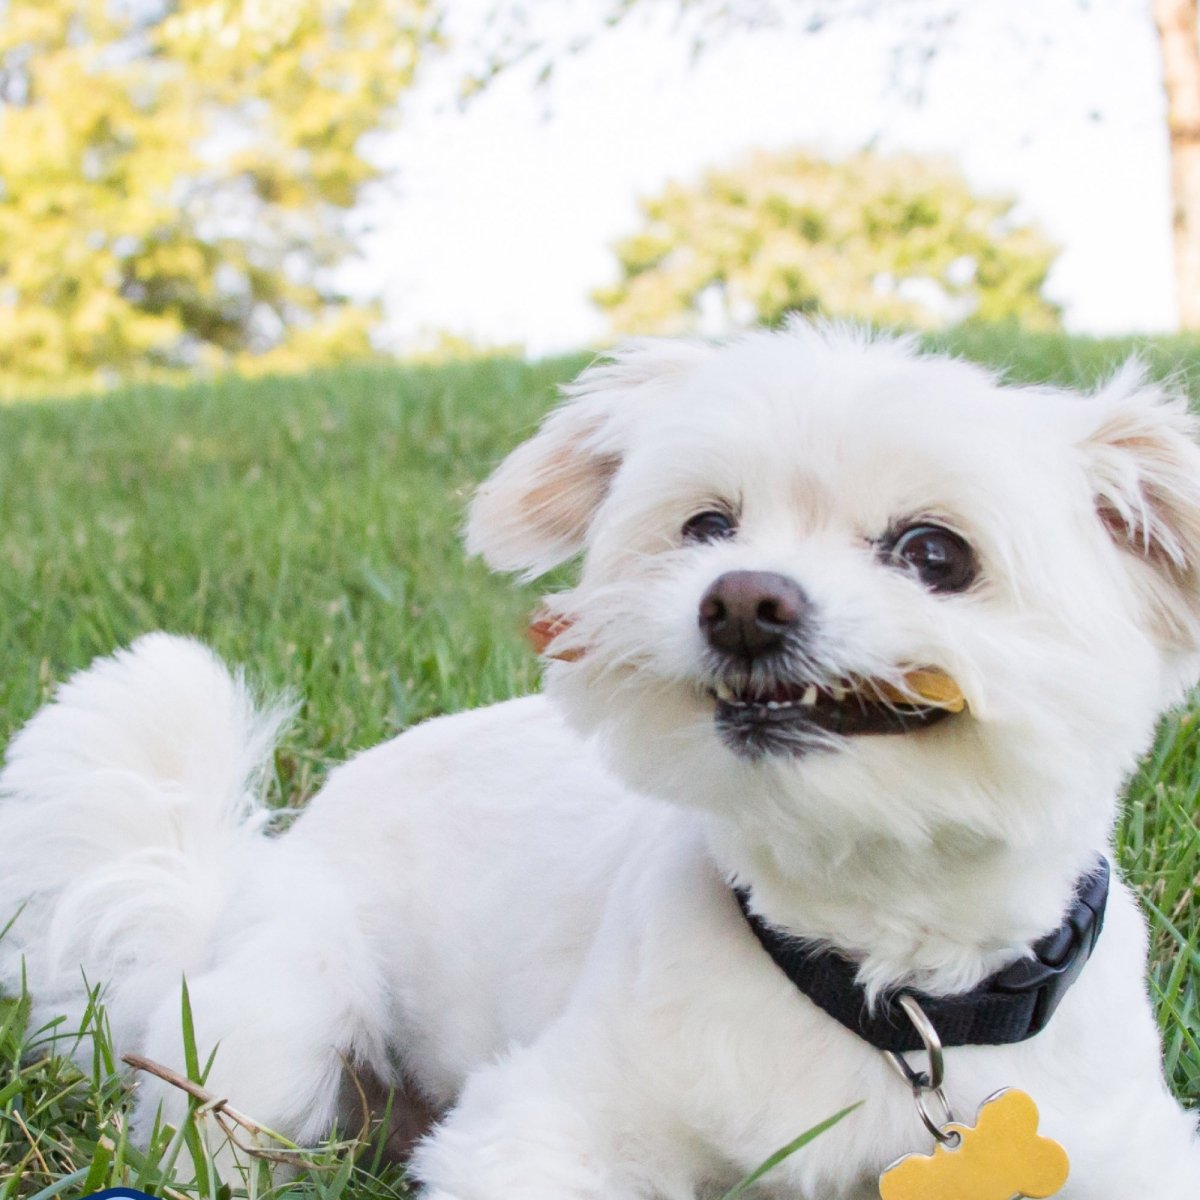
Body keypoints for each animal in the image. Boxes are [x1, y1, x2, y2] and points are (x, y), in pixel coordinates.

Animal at [2, 321, 1200, 1200]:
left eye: (935, 554)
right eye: (708, 527)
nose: (742, 602)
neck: (880, 991)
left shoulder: (1128, 1152)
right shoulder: (537, 1125)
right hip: (277, 1027)